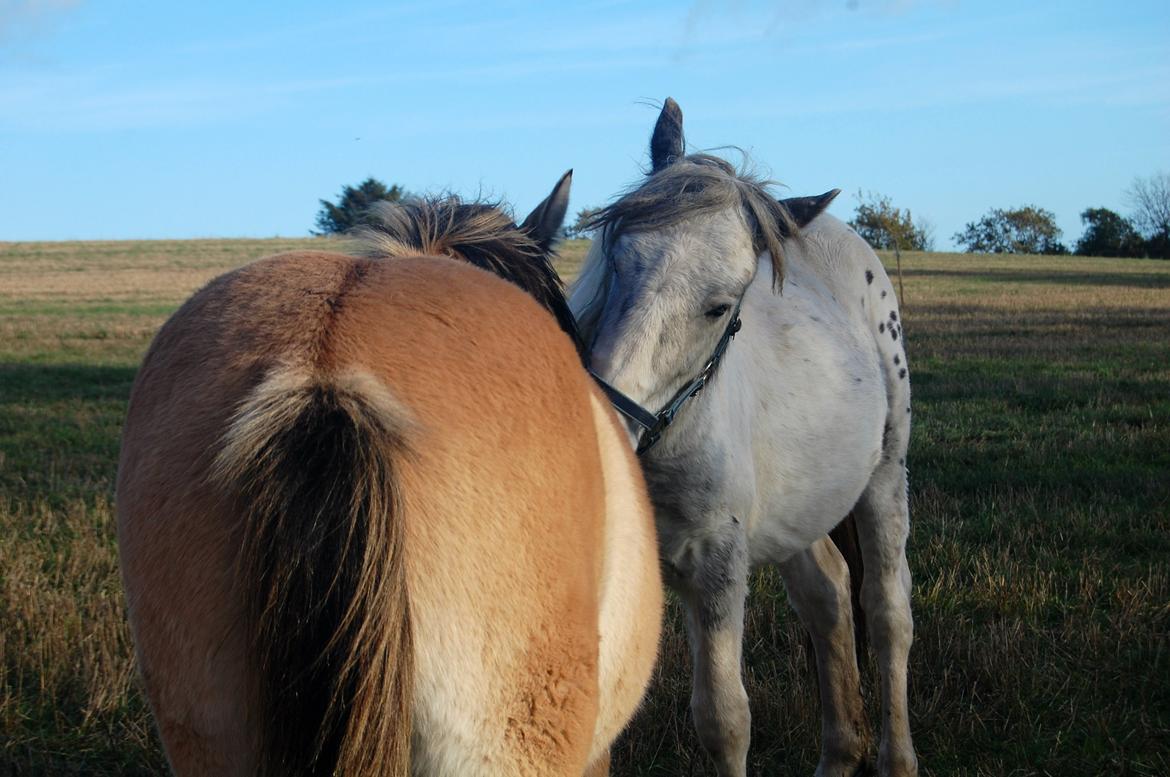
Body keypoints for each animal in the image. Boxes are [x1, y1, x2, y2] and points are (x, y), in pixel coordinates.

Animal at [570, 100, 917, 772]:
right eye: (614, 259)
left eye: (719, 305)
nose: (605, 430)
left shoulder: (717, 566)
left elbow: (724, 721)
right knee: (828, 593)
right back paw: (841, 752)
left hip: (885, 479)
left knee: (888, 612)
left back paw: (897, 758)